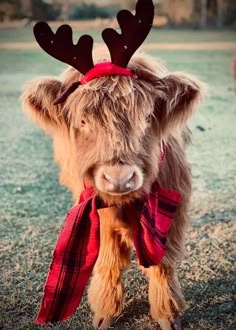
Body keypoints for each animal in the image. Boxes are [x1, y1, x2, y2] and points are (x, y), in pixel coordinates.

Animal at [21, 1, 204, 328]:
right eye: (82, 121)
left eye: (146, 117)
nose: (119, 178)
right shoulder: (98, 212)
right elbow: (108, 261)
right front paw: (105, 313)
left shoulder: (173, 206)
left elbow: (162, 263)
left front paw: (168, 314)